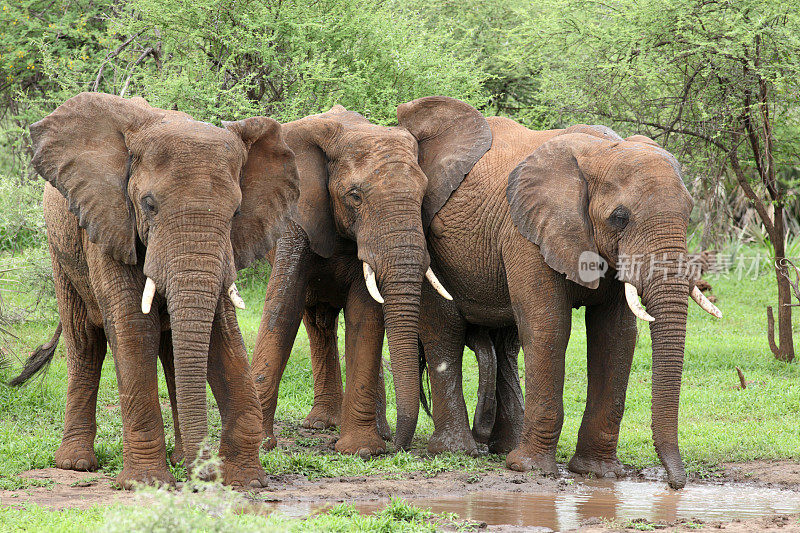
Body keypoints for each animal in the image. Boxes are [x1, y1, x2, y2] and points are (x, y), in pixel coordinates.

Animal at [10, 91, 300, 486]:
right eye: (149, 205)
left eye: (236, 211)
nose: (203, 473)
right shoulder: (110, 219)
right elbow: (134, 327)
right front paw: (145, 483)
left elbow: (222, 332)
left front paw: (246, 480)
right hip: (61, 250)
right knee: (85, 344)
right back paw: (75, 463)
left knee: (171, 349)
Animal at [250, 96, 490, 454]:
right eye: (355, 196)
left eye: (423, 196)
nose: (400, 449)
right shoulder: (298, 218)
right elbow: (283, 307)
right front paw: (260, 444)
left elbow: (365, 316)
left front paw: (362, 450)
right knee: (316, 318)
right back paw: (321, 424)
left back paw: (372, 432)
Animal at [396, 101, 724, 490]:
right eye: (620, 218)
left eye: (689, 213)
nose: (676, 484)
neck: (602, 152)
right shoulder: (525, 233)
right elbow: (548, 327)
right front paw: (531, 470)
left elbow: (616, 337)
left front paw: (598, 473)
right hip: (427, 244)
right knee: (444, 331)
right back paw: (457, 451)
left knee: (506, 343)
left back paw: (503, 447)